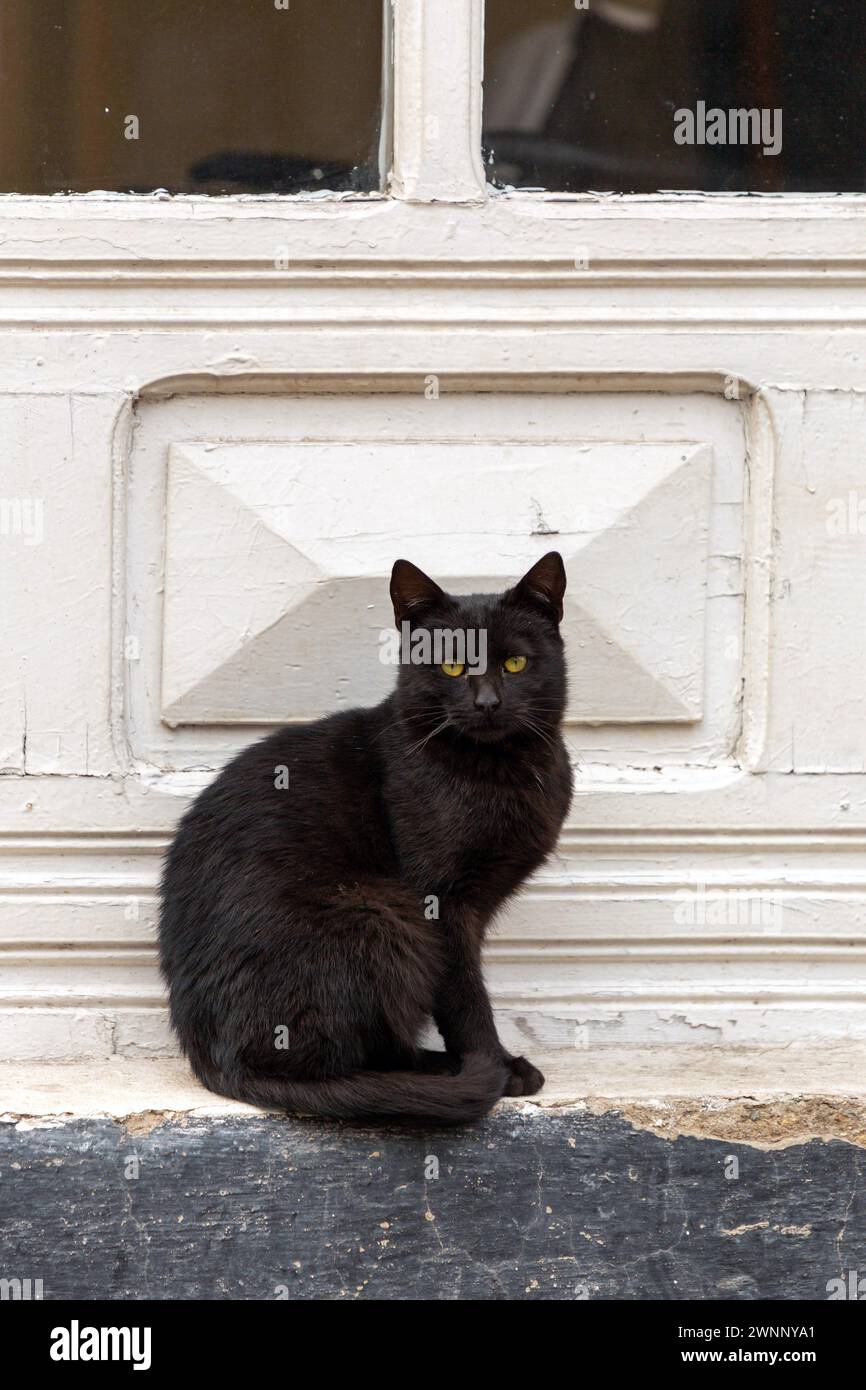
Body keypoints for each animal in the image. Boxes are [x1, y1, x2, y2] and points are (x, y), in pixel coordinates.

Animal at [159, 547, 572, 1123]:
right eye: (451, 664)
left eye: (515, 664)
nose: (488, 703)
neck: (499, 771)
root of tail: (214, 1061)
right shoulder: (439, 901)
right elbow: (465, 996)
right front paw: (499, 1065)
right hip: (379, 914)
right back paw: (442, 1073)